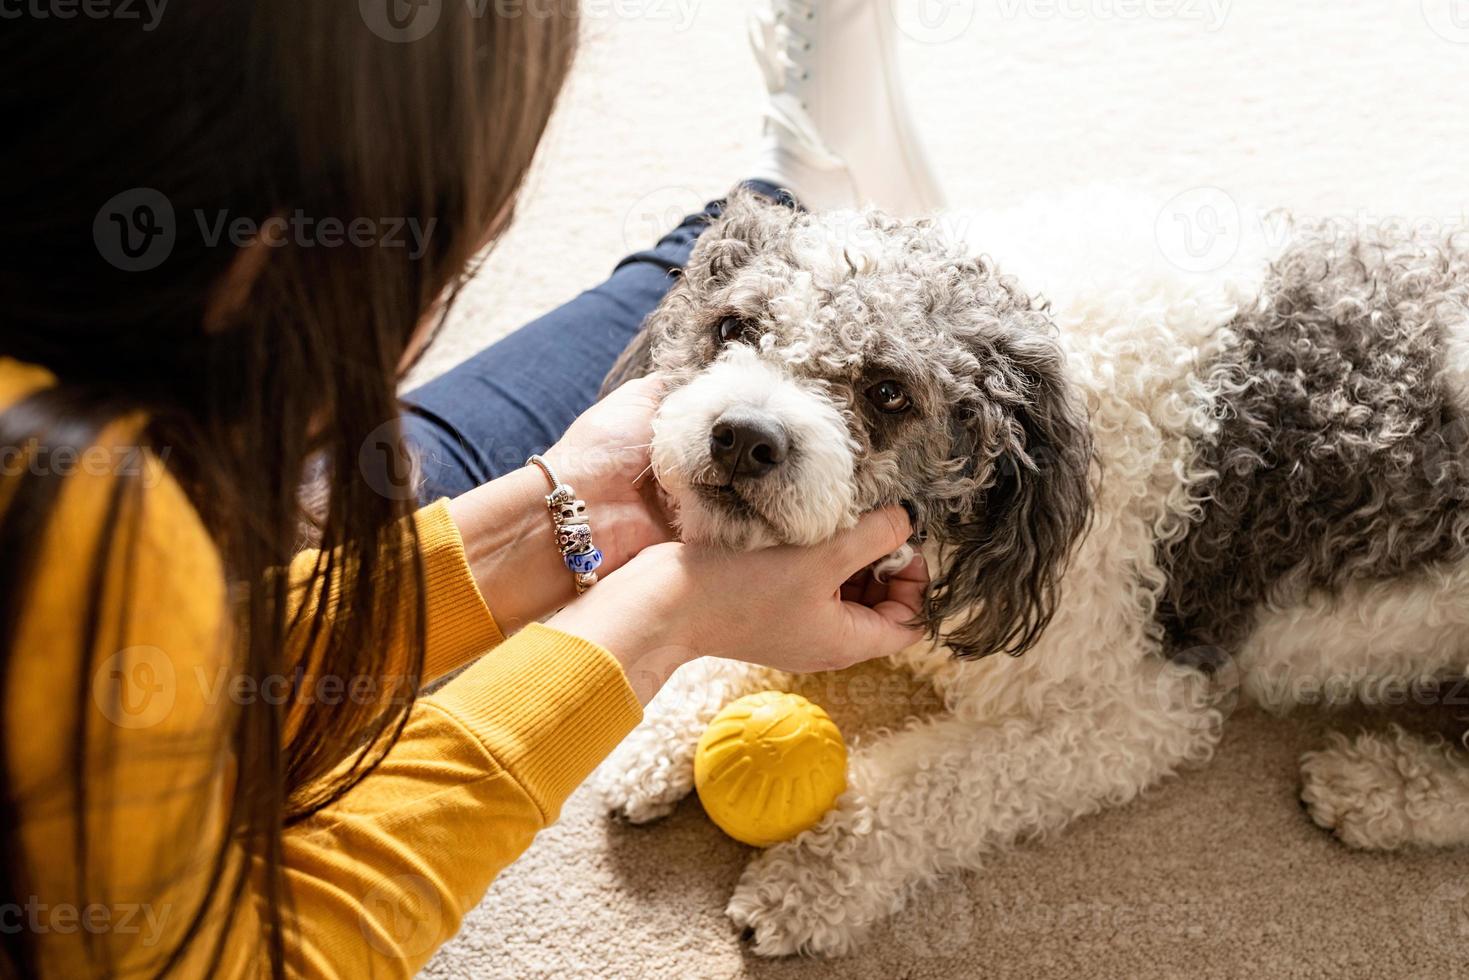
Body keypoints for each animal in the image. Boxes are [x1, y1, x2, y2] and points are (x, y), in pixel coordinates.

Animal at [593, 188, 1469, 952]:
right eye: (733, 325)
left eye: (887, 391)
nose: (743, 437)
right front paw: (647, 734)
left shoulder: (1135, 711)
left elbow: (936, 786)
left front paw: (809, 881)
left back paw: (1378, 789)